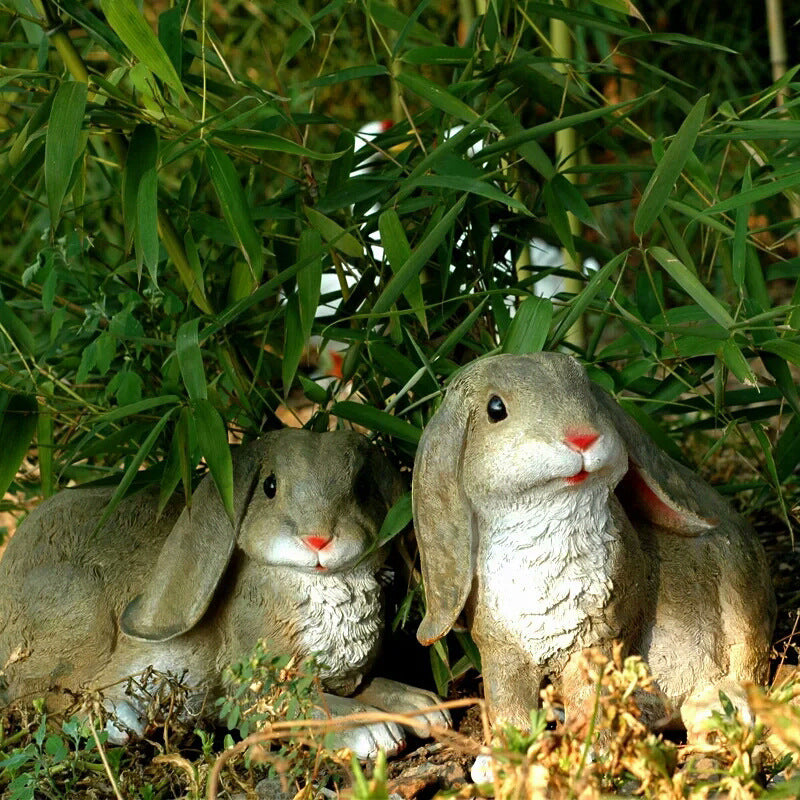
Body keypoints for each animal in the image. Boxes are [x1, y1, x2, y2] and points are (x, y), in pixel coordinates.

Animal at [0, 428, 451, 758]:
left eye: (360, 489)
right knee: (37, 695)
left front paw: (422, 706)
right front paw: (371, 732)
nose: (318, 539)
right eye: (269, 486)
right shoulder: (254, 686)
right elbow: (307, 706)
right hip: (79, 615)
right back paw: (119, 721)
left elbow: (372, 685)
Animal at [412, 352, 775, 740]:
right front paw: (511, 750)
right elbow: (508, 704)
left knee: (748, 659)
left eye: (585, 388)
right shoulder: (501, 651)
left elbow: (591, 702)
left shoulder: (600, 640)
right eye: (495, 409)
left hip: (741, 586)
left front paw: (591, 748)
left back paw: (718, 710)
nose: (582, 437)